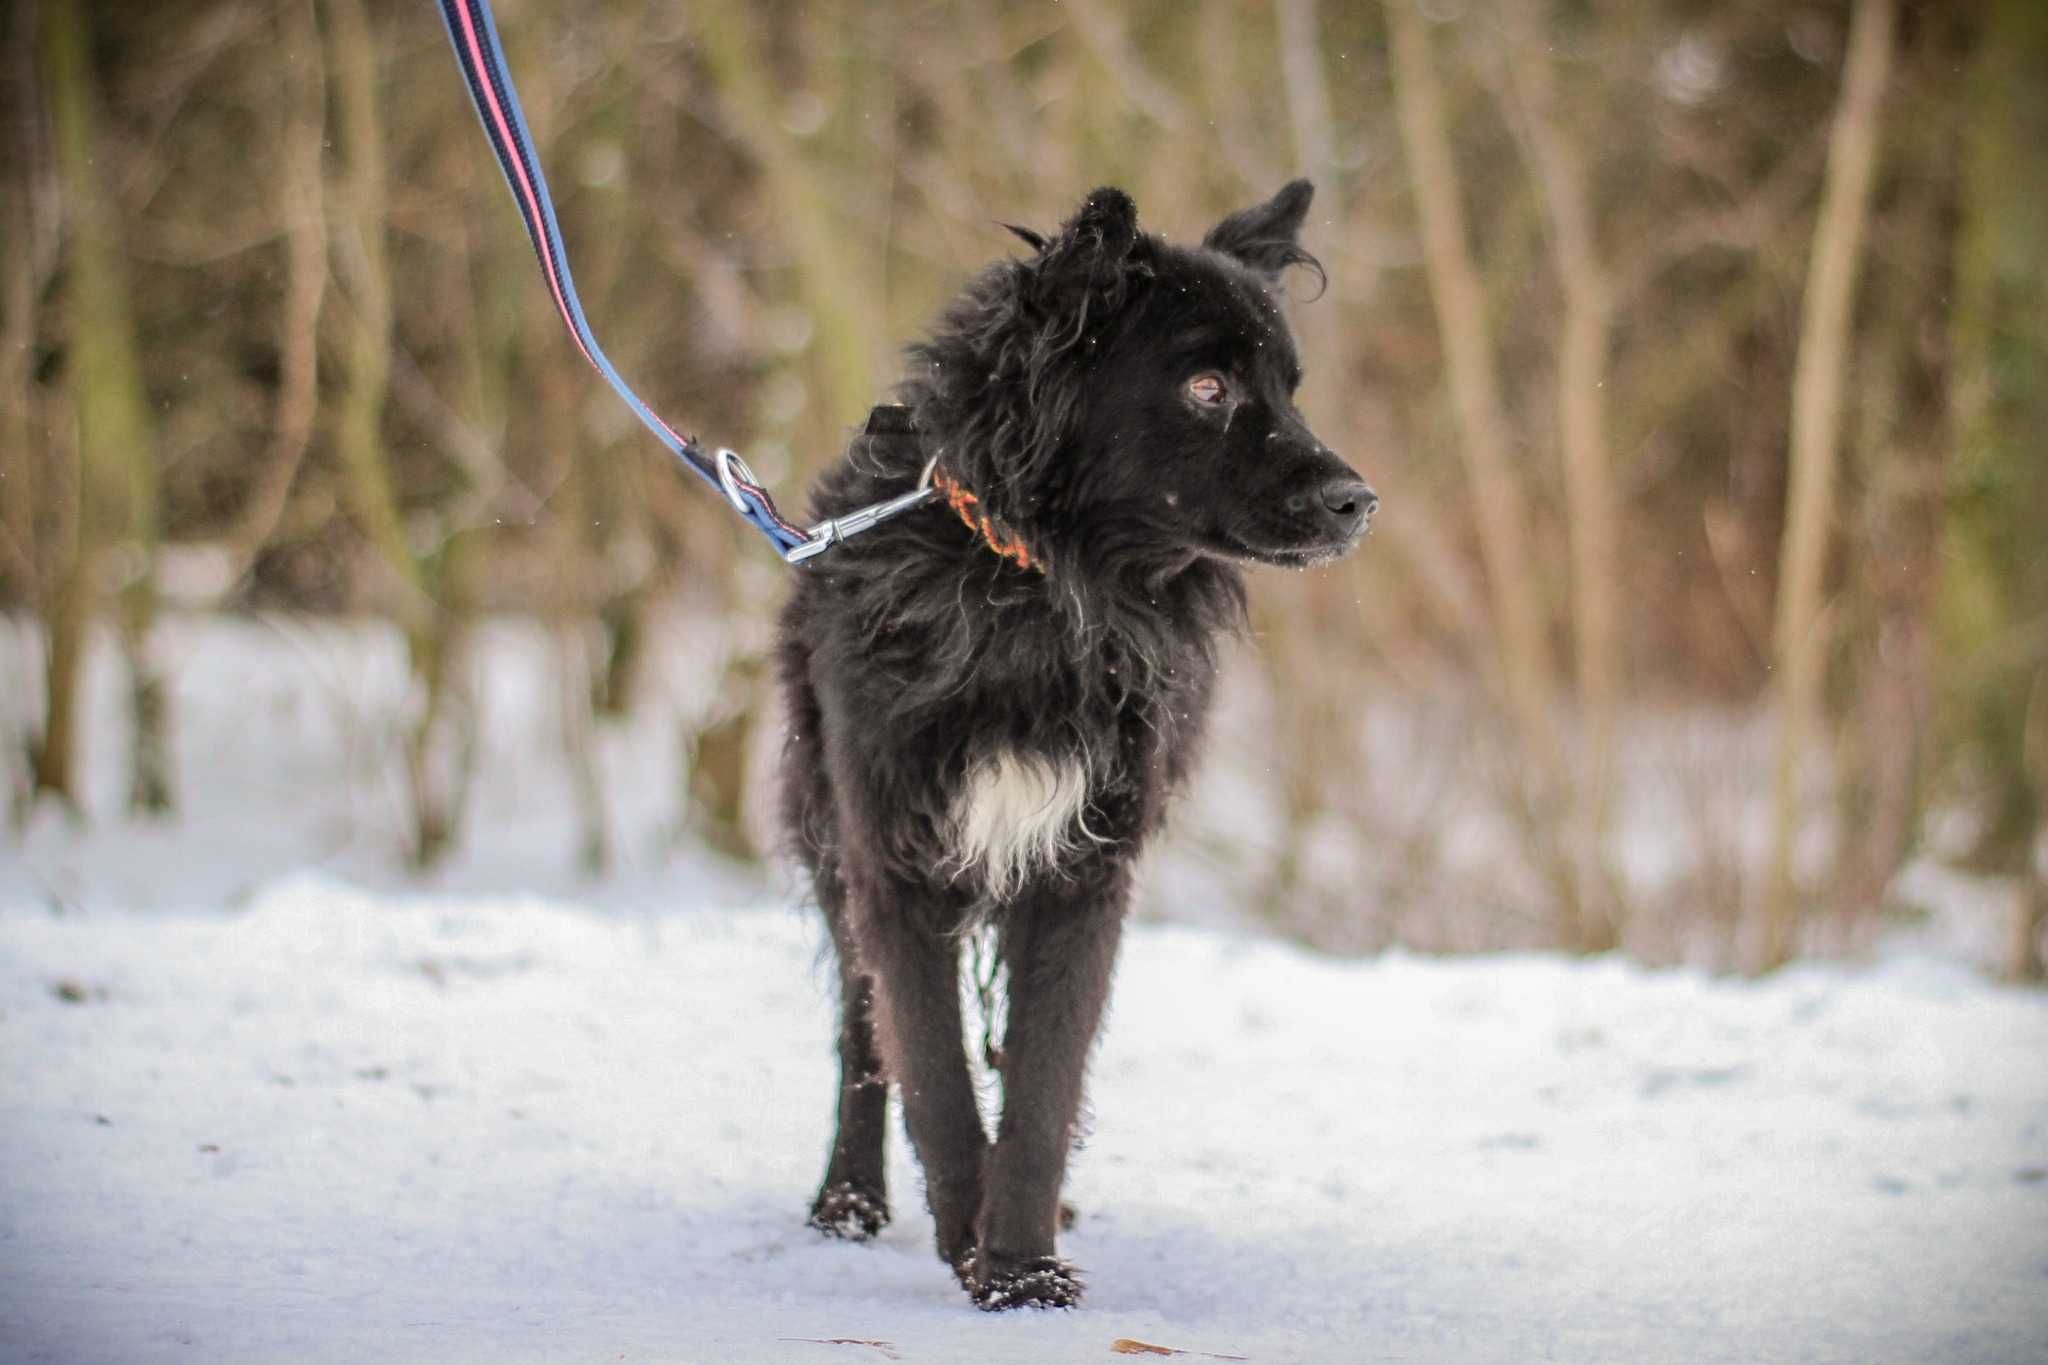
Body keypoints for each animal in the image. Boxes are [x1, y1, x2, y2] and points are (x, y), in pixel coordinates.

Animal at [778, 184, 1376, 1309]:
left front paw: (1019, 1259)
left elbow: (1046, 1079)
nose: (1357, 500)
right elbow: (932, 1071)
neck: (1040, 588)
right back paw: (848, 1200)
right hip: (829, 837)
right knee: (861, 1035)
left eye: (1289, 389)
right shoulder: (898, 866)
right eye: (1206, 385)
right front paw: (981, 1254)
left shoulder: (1081, 871)